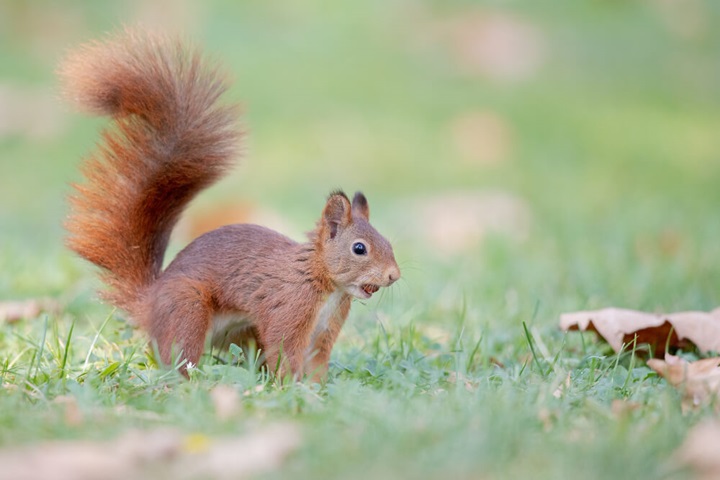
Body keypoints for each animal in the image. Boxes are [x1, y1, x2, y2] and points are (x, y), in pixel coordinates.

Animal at [59, 29, 400, 380]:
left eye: (389, 243)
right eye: (359, 248)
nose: (394, 275)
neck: (323, 281)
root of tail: (150, 304)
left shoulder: (324, 331)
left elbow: (316, 363)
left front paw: (318, 388)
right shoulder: (287, 309)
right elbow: (284, 352)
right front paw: (292, 387)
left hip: (240, 332)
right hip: (188, 310)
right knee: (178, 358)